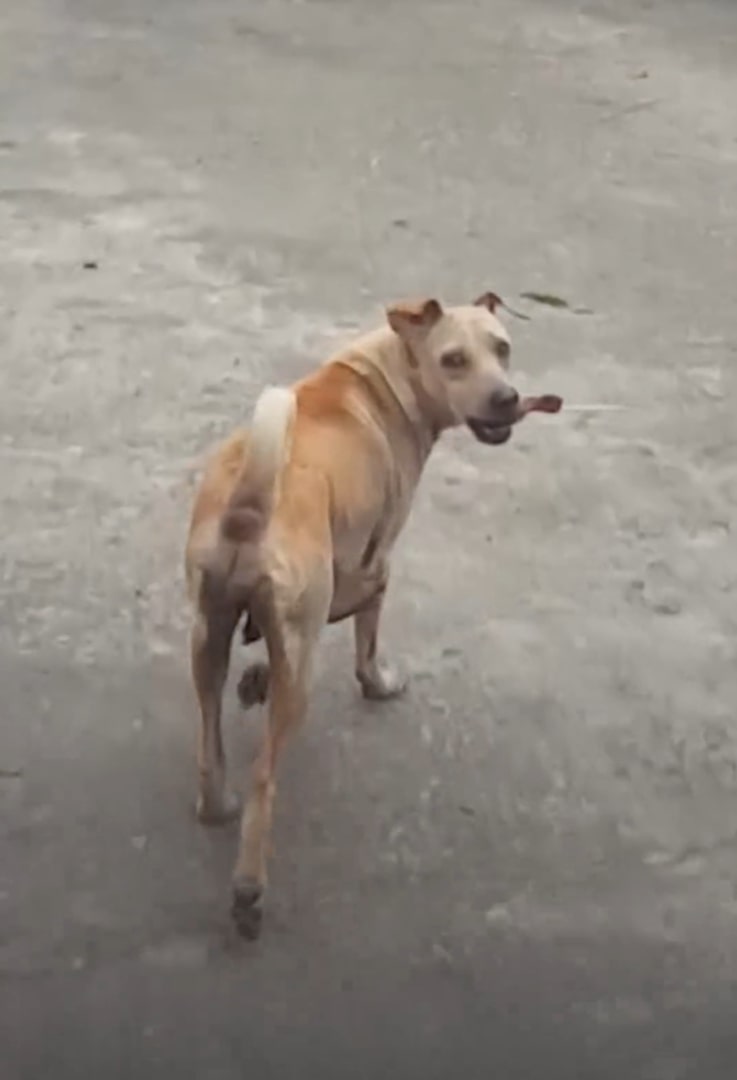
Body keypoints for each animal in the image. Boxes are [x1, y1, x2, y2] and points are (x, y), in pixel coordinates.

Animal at [182, 293, 557, 937]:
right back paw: (249, 889)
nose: (506, 398)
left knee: (211, 751)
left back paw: (219, 801)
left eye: (502, 347)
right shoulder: (368, 564)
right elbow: (362, 634)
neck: (389, 370)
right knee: (264, 775)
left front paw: (255, 676)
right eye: (453, 360)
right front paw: (375, 682)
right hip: (294, 678)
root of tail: (247, 510)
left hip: (206, 641)